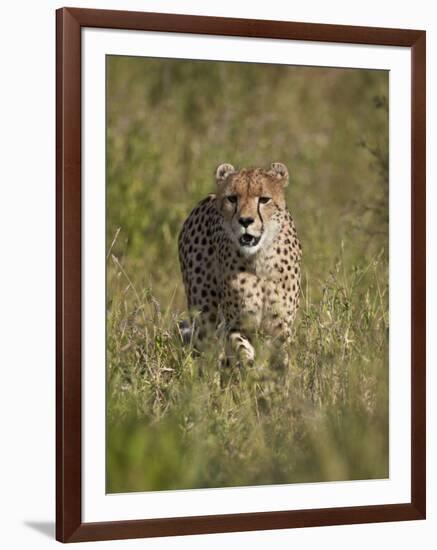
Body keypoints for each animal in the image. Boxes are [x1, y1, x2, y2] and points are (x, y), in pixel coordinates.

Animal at [177, 163, 300, 366]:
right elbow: (241, 348)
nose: (245, 220)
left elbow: (282, 358)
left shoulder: (280, 327)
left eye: (264, 199)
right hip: (204, 313)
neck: (259, 260)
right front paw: (248, 366)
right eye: (232, 198)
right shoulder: (235, 324)